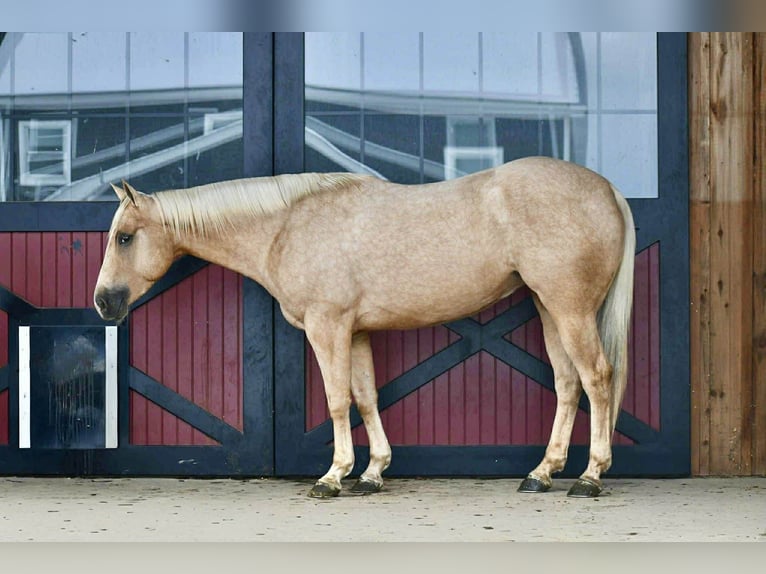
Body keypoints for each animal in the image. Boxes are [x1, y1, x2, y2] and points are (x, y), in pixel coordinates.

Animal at [94, 156, 635, 499]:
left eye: (124, 238)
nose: (103, 302)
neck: (286, 227)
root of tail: (608, 190)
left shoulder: (327, 326)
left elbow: (337, 400)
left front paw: (333, 477)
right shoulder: (354, 332)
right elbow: (366, 397)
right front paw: (373, 473)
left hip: (570, 309)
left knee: (597, 378)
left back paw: (590, 477)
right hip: (549, 308)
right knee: (567, 383)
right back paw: (542, 473)